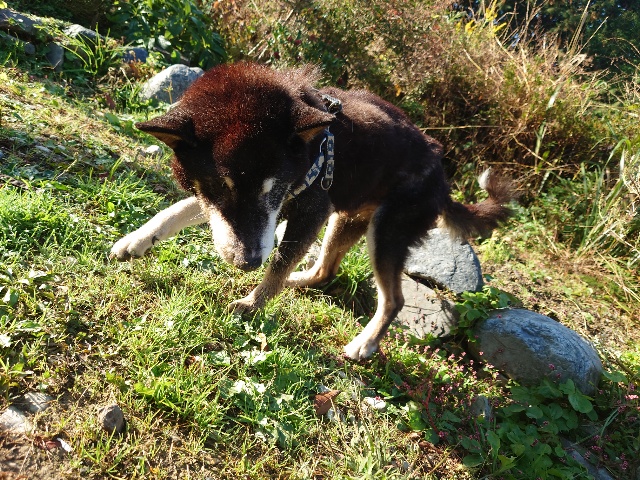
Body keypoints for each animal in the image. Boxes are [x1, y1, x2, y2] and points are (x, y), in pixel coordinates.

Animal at [111, 62, 515, 361]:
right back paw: (299, 280)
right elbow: (180, 209)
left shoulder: (307, 209)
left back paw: (364, 344)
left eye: (273, 188)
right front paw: (137, 240)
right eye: (218, 187)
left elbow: (277, 264)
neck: (310, 149)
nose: (247, 263)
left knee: (393, 299)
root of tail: (443, 182)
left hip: (385, 231)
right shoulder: (259, 209)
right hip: (344, 219)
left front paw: (252, 304)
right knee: (325, 271)